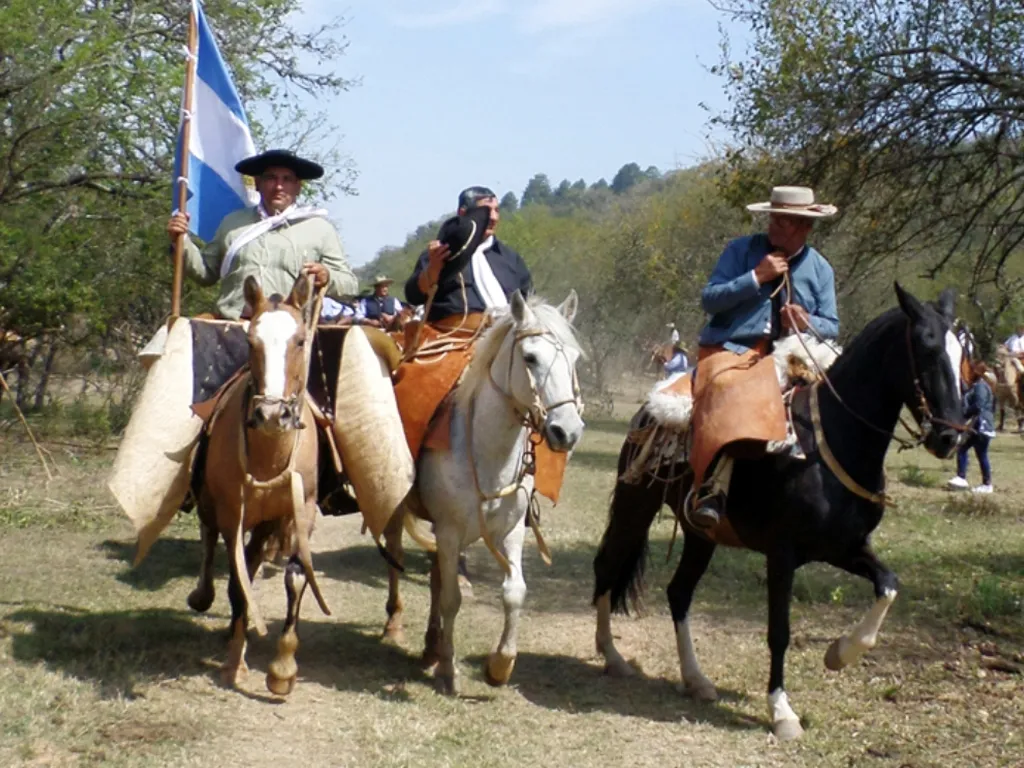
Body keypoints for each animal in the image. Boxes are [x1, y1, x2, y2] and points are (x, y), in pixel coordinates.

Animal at [190, 276, 329, 696]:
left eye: (300, 340)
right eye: (251, 341)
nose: (271, 414)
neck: (269, 456)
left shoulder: (298, 512)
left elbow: (295, 576)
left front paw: (282, 668)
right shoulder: (232, 513)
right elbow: (237, 581)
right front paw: (235, 662)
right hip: (213, 508)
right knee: (209, 541)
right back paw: (204, 597)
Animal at [382, 290, 585, 696]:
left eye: (573, 358)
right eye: (530, 357)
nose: (567, 431)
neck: (487, 449)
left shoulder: (510, 530)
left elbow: (514, 592)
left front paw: (499, 666)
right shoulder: (448, 531)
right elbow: (451, 598)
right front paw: (449, 669)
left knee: (435, 576)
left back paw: (431, 647)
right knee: (396, 556)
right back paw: (396, 626)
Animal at [593, 286, 966, 741]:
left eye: (962, 355)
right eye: (926, 347)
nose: (949, 436)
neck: (832, 443)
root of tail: (649, 409)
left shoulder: (845, 547)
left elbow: (889, 585)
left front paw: (839, 653)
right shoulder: (782, 554)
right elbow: (779, 632)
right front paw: (782, 711)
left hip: (701, 536)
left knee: (678, 592)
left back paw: (695, 679)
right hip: (635, 506)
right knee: (608, 567)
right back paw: (613, 656)